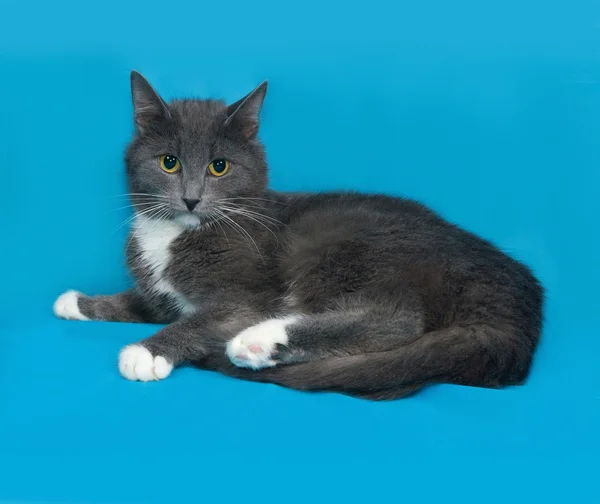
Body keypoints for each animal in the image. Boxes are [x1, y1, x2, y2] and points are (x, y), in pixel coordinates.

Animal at [54, 72, 548, 402]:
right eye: (169, 162)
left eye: (220, 167)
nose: (192, 199)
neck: (175, 232)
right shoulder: (161, 295)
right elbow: (140, 302)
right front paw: (79, 303)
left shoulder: (243, 296)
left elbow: (199, 320)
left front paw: (146, 352)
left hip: (339, 244)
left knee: (398, 319)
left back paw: (259, 340)